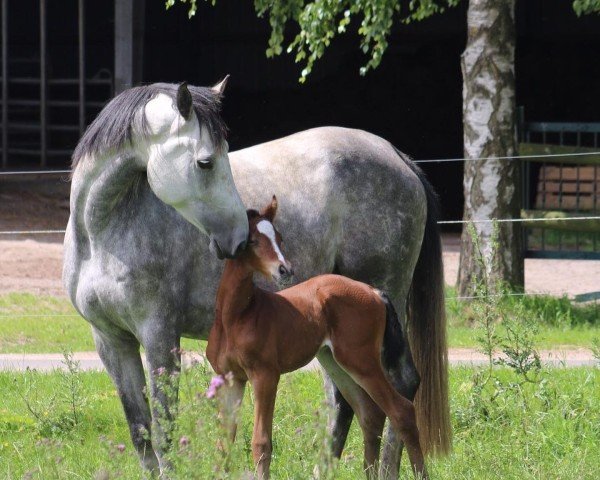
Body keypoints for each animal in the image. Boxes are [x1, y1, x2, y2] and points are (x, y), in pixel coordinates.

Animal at [206, 197, 426, 478]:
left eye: (279, 237)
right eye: (252, 241)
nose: (285, 269)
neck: (236, 317)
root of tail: (374, 291)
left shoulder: (265, 375)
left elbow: (261, 443)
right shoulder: (230, 379)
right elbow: (224, 444)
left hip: (361, 360)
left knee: (401, 411)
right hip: (336, 362)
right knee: (371, 414)